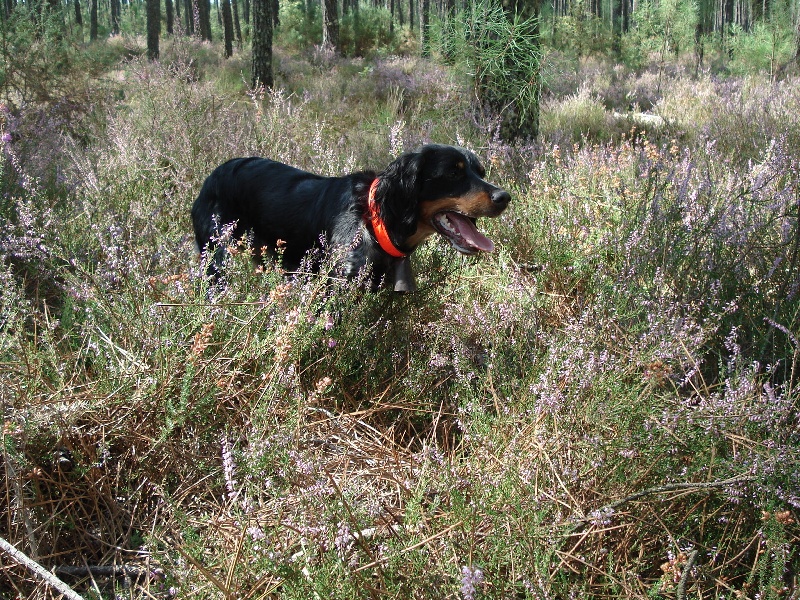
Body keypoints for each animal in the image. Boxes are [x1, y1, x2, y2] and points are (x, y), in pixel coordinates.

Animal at [191, 146, 510, 294]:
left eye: (480, 172)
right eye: (454, 173)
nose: (505, 197)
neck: (374, 220)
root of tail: (212, 176)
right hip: (216, 257)